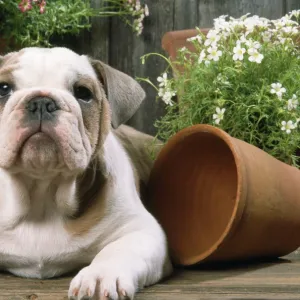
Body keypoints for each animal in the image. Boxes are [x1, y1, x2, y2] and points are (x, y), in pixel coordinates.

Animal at [0, 48, 172, 298]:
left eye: (83, 93)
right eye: (3, 88)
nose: (41, 102)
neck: (42, 191)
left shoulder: (140, 229)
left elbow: (119, 250)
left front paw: (101, 276)